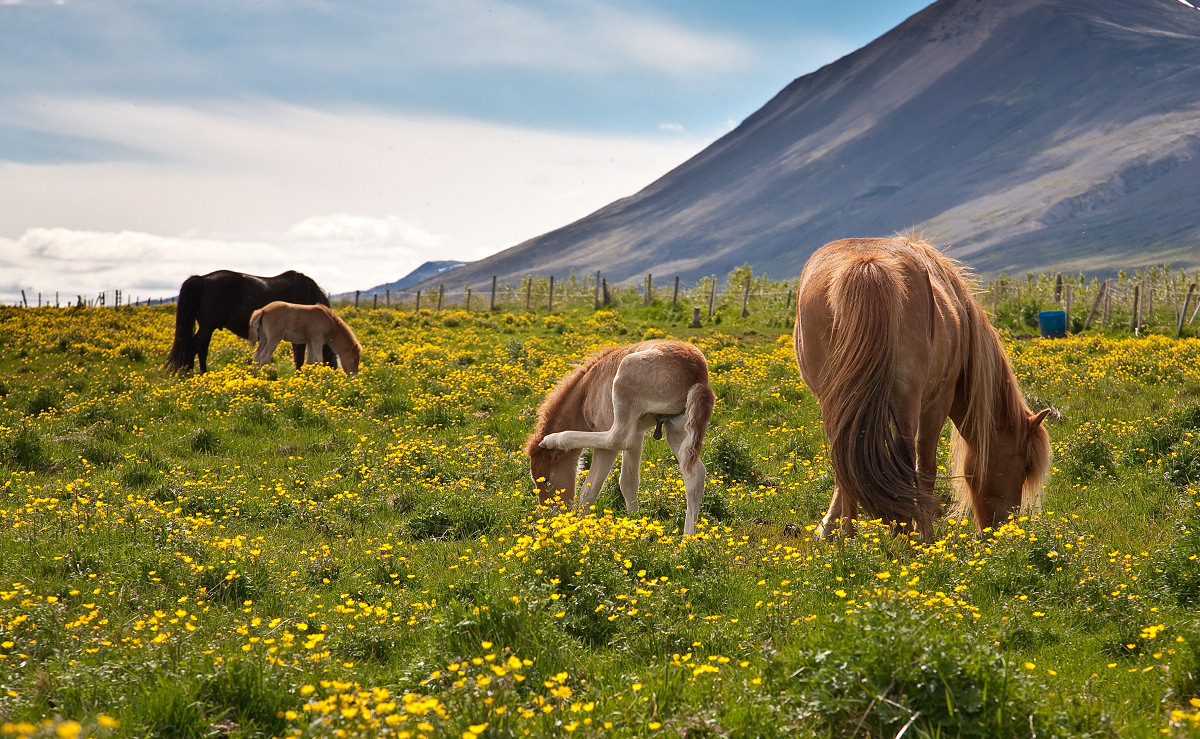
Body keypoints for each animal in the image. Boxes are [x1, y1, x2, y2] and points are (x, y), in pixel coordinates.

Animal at [523, 340, 710, 537]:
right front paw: (636, 526)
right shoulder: (638, 431)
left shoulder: (607, 429)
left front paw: (580, 531)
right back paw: (688, 538)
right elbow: (628, 482)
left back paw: (554, 438)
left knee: (618, 439)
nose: (552, 521)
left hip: (625, 374)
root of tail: (697, 374)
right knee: (695, 474)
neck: (588, 389)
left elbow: (589, 490)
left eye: (546, 480)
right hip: (677, 429)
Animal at [796, 236, 1051, 537]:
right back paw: (907, 536)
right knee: (907, 461)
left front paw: (828, 527)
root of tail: (867, 265)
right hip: (908, 400)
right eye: (1025, 467)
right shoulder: (937, 402)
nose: (1002, 529)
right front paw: (925, 535)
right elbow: (926, 467)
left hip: (834, 399)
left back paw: (849, 534)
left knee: (845, 462)